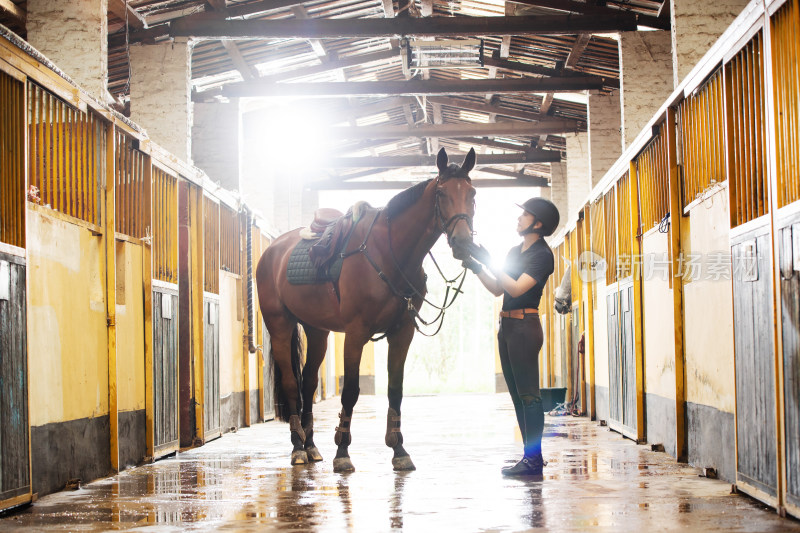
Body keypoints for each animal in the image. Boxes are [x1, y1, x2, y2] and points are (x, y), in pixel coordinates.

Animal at [258, 148, 476, 472]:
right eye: (441, 193)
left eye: (472, 193)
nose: (462, 242)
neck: (389, 253)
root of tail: (273, 251)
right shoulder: (356, 333)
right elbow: (350, 391)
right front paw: (342, 452)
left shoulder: (403, 332)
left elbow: (395, 390)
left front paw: (399, 449)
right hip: (280, 325)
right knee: (291, 383)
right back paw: (298, 447)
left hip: (317, 331)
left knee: (308, 382)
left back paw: (311, 446)